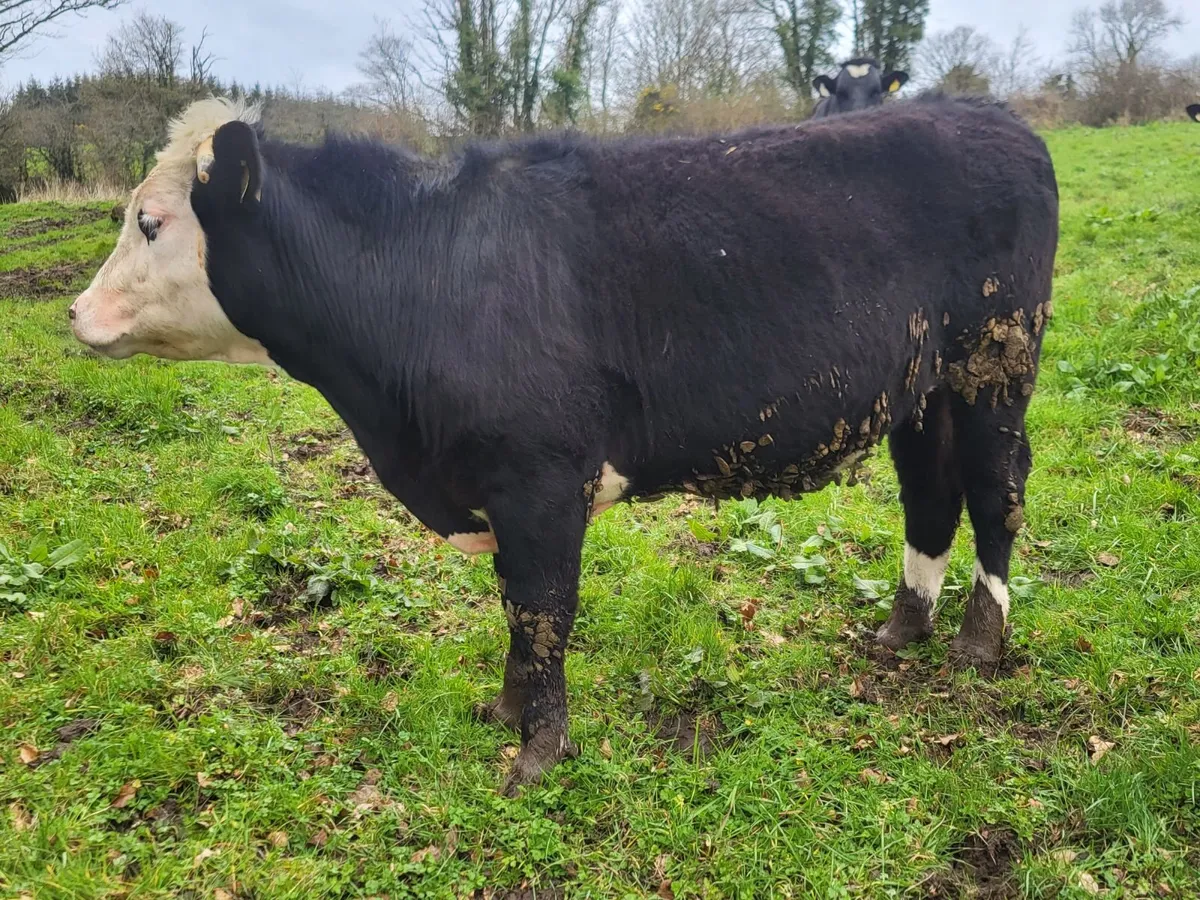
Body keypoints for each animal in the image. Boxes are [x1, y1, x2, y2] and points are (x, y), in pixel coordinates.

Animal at [70, 95, 1059, 794]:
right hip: (924, 389)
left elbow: (543, 609)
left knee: (996, 488)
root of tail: (992, 113)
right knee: (931, 491)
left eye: (151, 222)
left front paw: (537, 752)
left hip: (996, 362)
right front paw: (504, 710)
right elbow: (516, 607)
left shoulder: (539, 479)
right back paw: (903, 626)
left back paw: (979, 641)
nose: (74, 312)